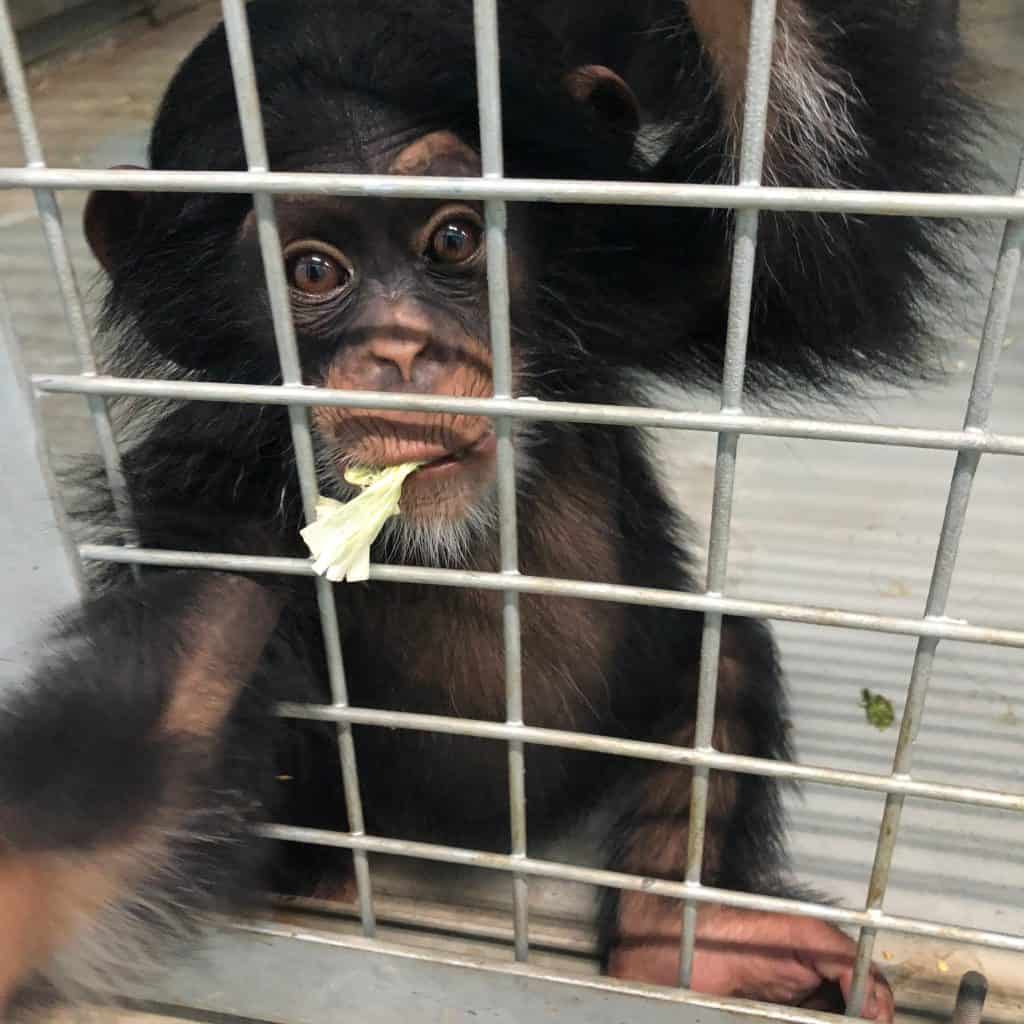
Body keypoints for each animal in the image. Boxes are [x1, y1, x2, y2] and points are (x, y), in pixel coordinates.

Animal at [0, 0, 978, 1015]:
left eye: (454, 240)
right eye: (311, 271)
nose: (402, 349)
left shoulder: (641, 288)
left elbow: (812, 223)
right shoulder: (212, 499)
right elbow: (147, 739)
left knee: (722, 658)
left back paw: (697, 947)